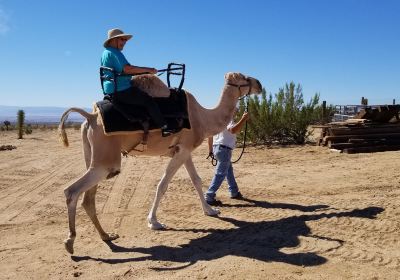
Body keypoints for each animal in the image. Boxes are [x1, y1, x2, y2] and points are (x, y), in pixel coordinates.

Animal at [57, 71, 262, 254]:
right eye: (243, 77)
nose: (259, 84)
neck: (202, 118)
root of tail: (90, 117)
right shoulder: (183, 150)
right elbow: (163, 184)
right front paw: (154, 222)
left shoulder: (183, 151)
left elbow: (196, 180)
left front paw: (210, 210)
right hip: (106, 160)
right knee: (72, 191)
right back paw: (70, 241)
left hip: (92, 156)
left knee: (88, 198)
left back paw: (106, 236)